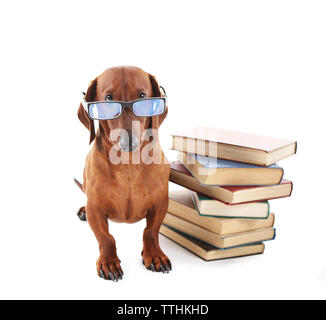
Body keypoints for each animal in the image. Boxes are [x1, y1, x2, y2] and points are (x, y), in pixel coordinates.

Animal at [74, 66, 171, 282]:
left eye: (142, 96)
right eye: (108, 98)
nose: (129, 142)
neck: (127, 166)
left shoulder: (161, 203)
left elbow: (150, 231)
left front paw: (154, 254)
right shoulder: (95, 210)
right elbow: (106, 238)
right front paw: (108, 261)